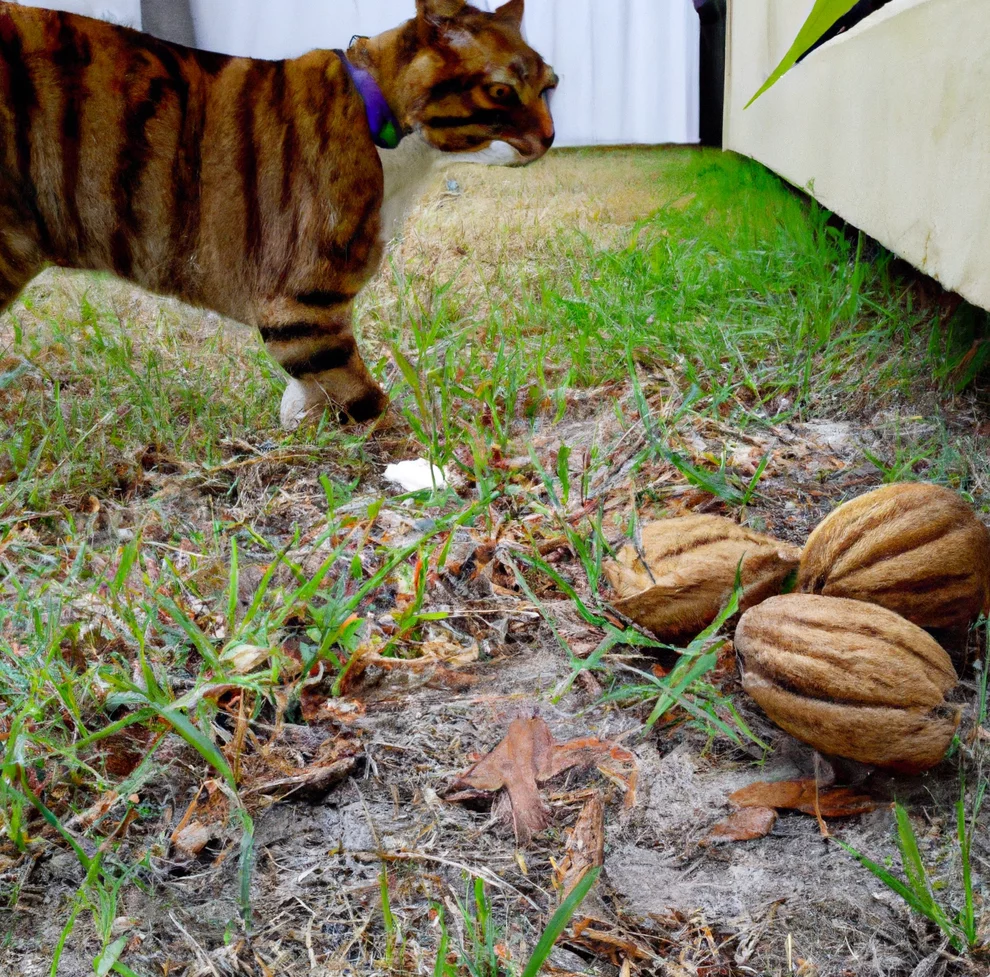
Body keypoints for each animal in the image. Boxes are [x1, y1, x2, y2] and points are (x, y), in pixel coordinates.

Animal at [0, 0, 560, 428]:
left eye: (550, 86)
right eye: (502, 91)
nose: (551, 137)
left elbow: (308, 388)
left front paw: (303, 420)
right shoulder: (302, 303)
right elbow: (361, 394)